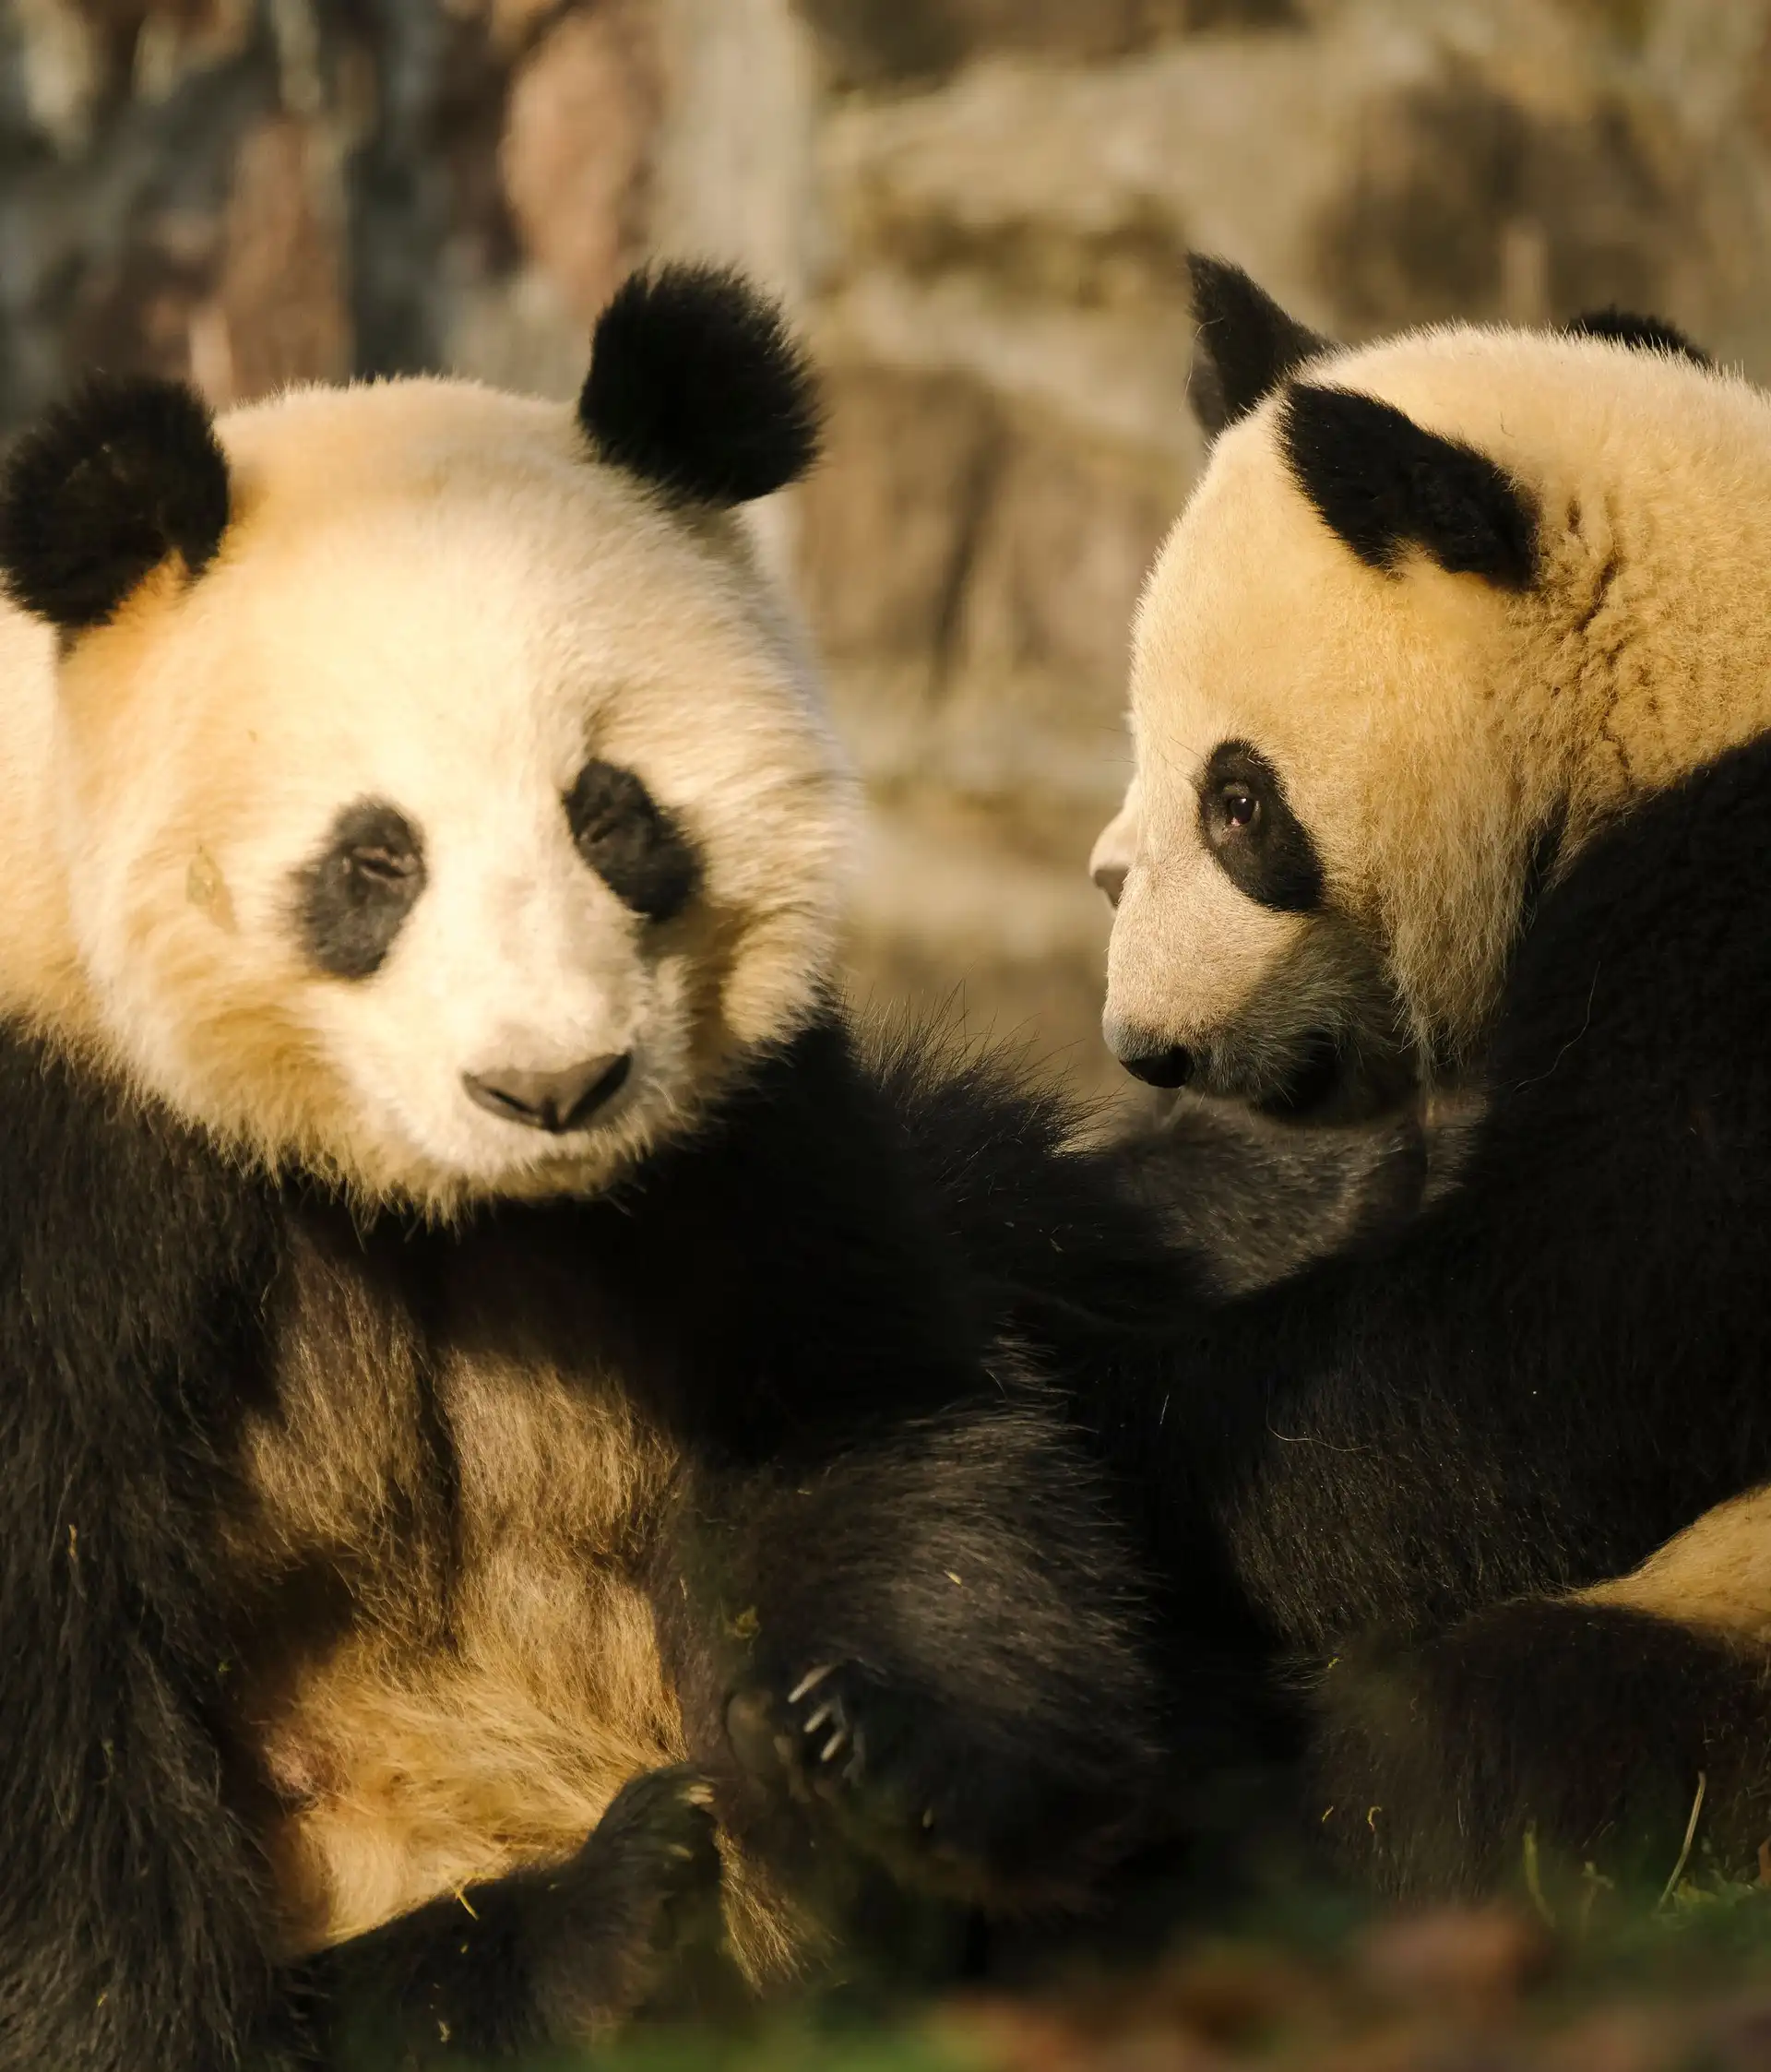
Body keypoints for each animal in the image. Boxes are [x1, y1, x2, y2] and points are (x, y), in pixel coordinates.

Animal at [0, 264, 1165, 2070]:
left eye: (612, 813)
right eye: (374, 858)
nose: (552, 1085)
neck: (436, 1196)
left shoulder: (749, 1124)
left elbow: (867, 1410)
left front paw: (869, 1763)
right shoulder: (67, 1128)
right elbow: (53, 1627)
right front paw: (140, 2023)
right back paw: (583, 1935)